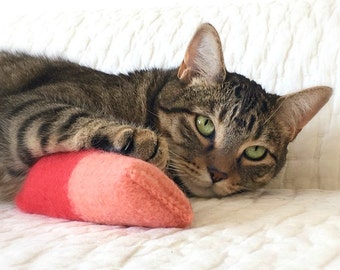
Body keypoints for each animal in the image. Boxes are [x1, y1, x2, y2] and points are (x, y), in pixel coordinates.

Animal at [0, 23, 330, 200]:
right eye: (205, 124)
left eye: (255, 152)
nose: (218, 173)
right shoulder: (24, 105)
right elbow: (66, 116)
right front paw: (143, 142)